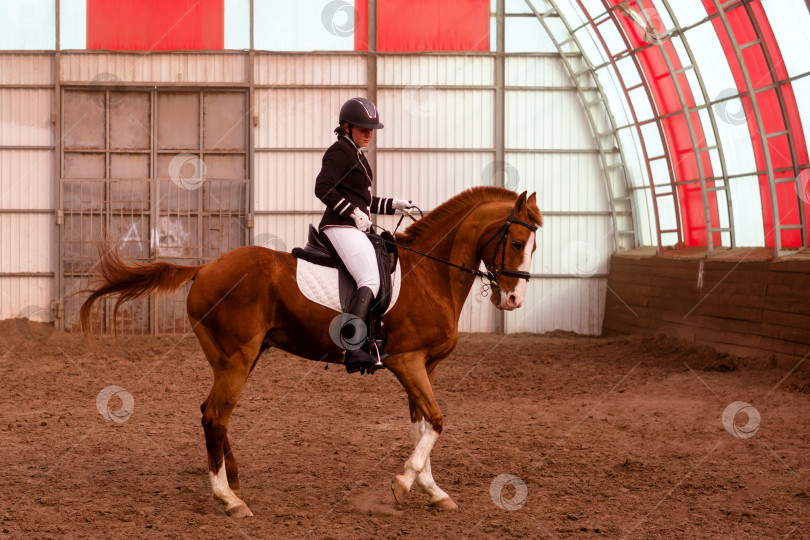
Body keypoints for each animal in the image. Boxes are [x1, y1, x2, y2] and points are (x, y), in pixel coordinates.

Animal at [80, 188, 544, 516]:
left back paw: (233, 480)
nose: (514, 300)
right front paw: (403, 484)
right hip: (237, 358)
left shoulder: (424, 367)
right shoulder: (407, 362)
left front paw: (432, 491)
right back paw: (228, 499)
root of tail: (205, 268)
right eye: (517, 241)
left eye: (533, 246)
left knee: (212, 413)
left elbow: (422, 425)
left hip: (238, 358)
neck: (429, 274)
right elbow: (437, 421)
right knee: (215, 415)